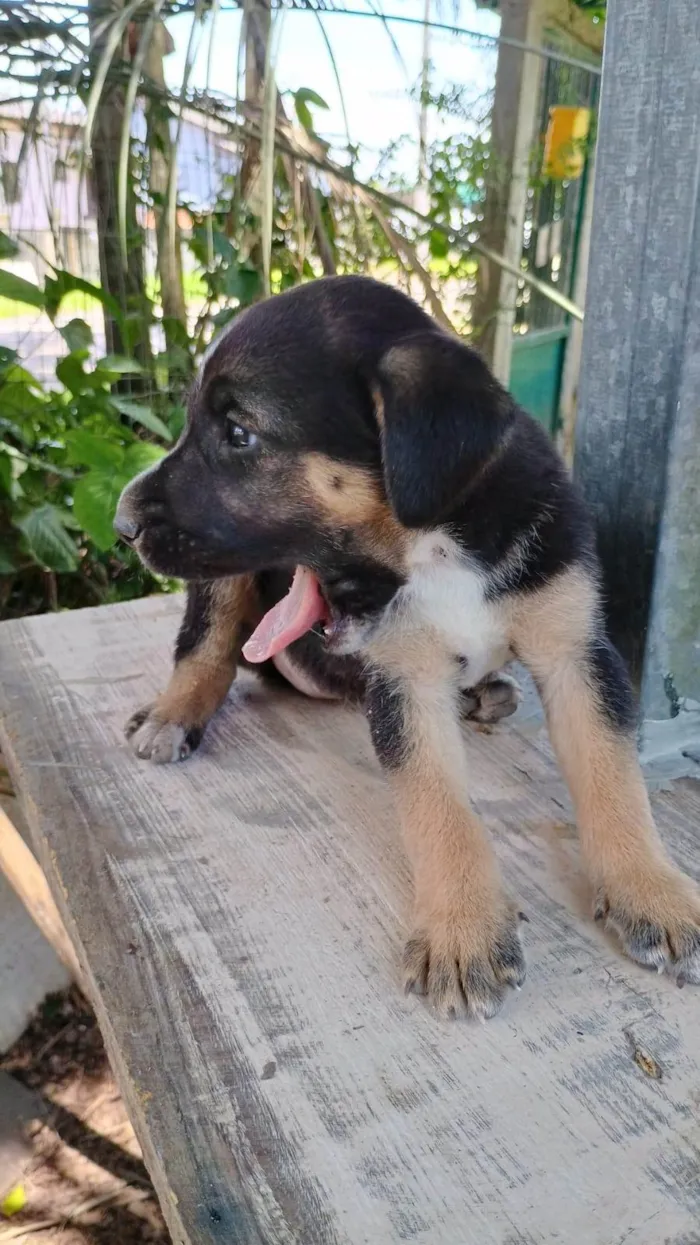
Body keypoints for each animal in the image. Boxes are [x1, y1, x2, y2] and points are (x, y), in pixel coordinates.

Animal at [114, 275, 697, 1020]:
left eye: (240, 434)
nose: (120, 523)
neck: (438, 541)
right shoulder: (404, 677)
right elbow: (437, 806)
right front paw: (463, 929)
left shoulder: (576, 652)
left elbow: (611, 774)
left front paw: (653, 891)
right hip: (229, 577)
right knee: (207, 645)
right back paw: (171, 713)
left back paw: (481, 695)